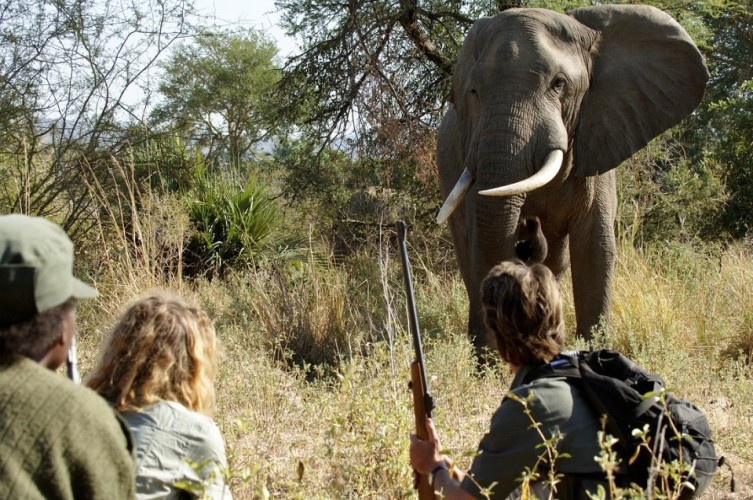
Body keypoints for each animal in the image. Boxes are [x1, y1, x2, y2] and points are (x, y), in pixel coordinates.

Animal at [438, 3, 708, 356]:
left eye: (558, 83)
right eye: (473, 91)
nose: (529, 230)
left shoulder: (598, 138)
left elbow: (595, 249)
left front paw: (595, 353)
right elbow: (484, 242)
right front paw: (488, 359)